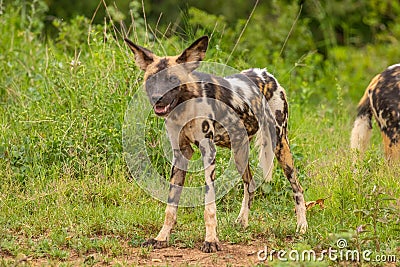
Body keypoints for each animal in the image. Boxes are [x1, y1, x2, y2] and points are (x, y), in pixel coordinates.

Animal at [125, 36, 310, 253]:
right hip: (239, 153)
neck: (185, 107)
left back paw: (302, 227)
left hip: (280, 145)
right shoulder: (181, 154)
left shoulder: (208, 152)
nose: (157, 98)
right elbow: (171, 206)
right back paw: (242, 221)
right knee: (250, 184)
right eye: (152, 79)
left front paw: (211, 240)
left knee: (297, 187)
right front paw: (161, 238)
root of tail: (266, 74)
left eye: (172, 80)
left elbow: (209, 206)